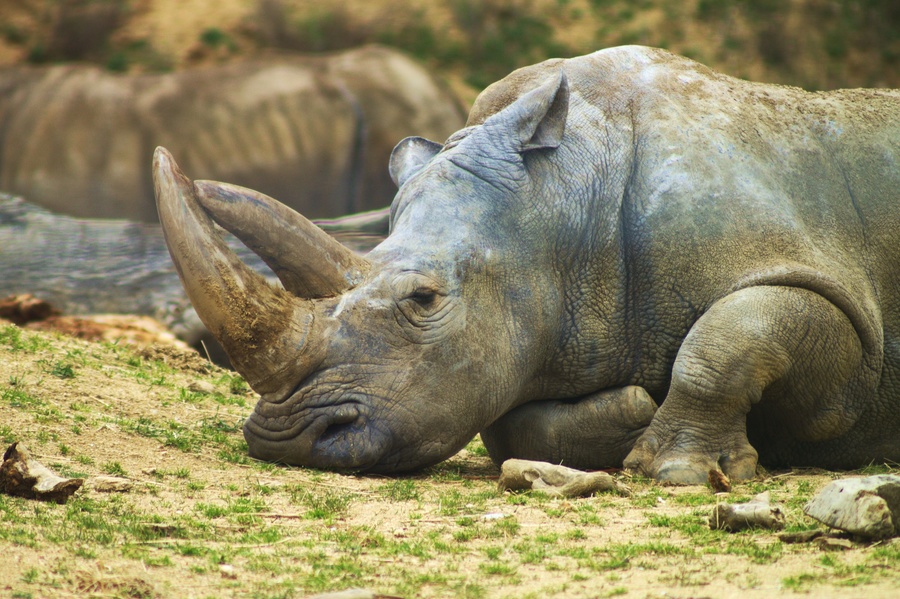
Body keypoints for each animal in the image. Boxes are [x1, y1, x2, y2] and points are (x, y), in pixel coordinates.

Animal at [152, 45, 900, 483]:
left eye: (424, 299)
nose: (288, 440)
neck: (568, 199)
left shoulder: (832, 297)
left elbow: (733, 335)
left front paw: (675, 469)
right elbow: (508, 422)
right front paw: (630, 414)